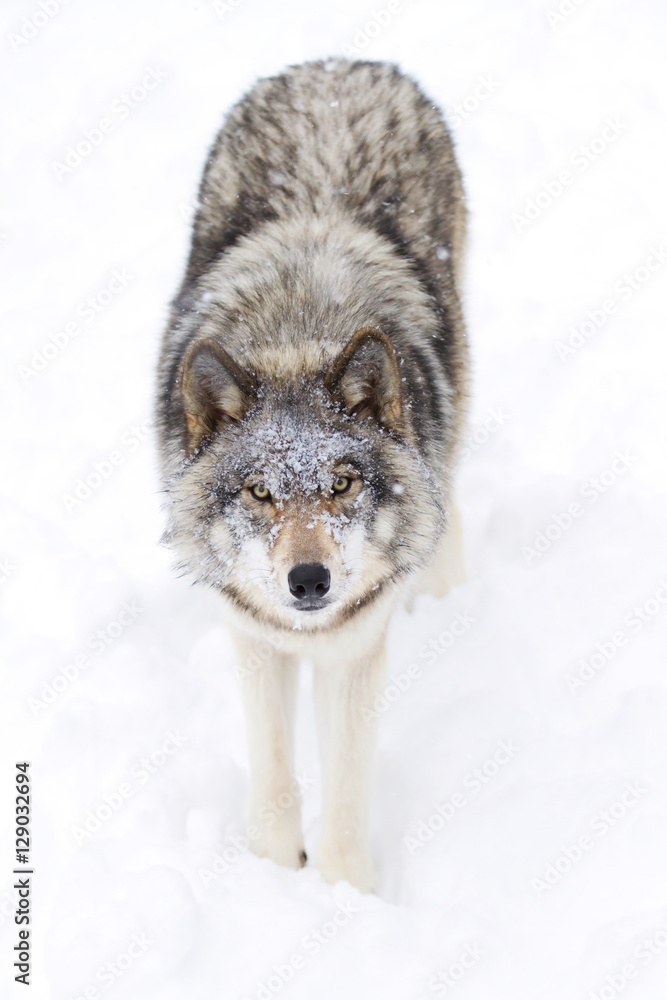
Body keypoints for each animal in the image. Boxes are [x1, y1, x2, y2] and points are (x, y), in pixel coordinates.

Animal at [156, 59, 469, 893]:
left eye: (340, 485)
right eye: (261, 492)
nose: (308, 582)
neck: (294, 327)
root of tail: (338, 65)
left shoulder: (352, 649)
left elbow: (348, 784)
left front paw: (341, 895)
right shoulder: (253, 634)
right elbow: (274, 770)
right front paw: (273, 869)